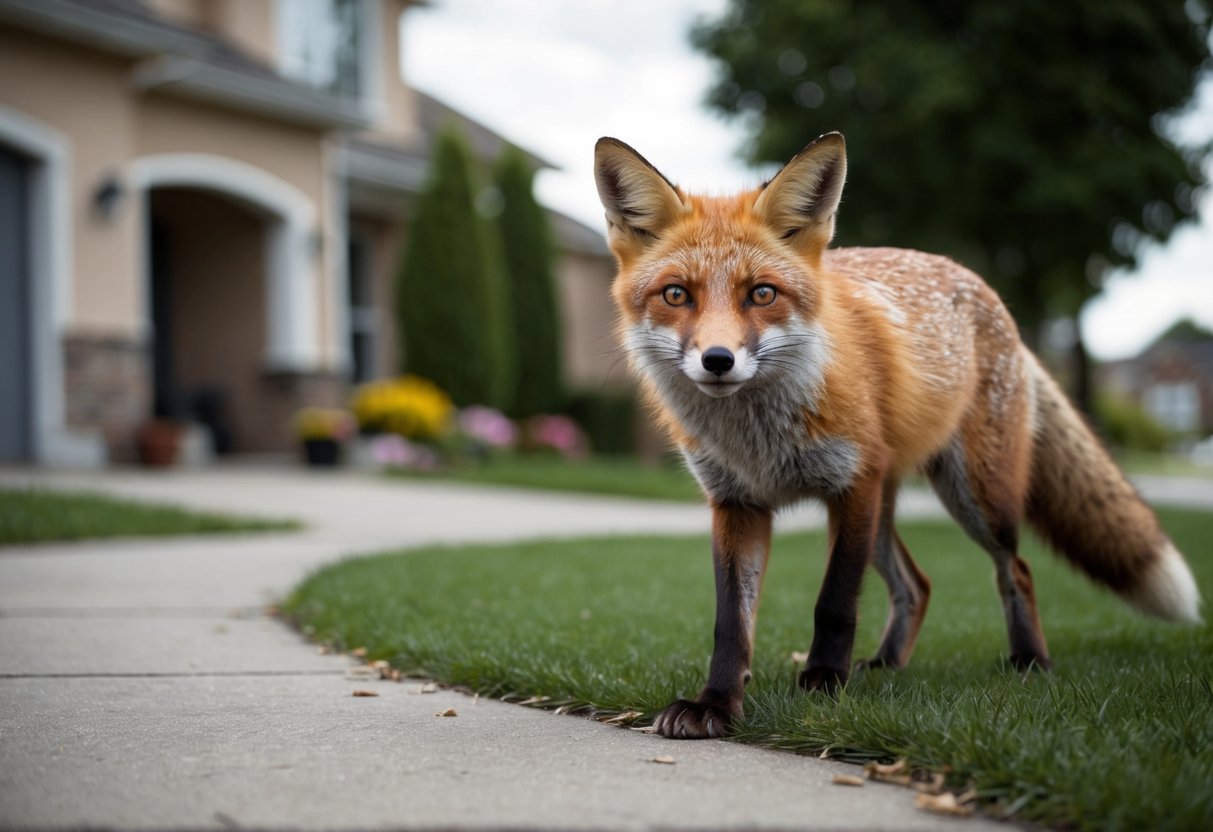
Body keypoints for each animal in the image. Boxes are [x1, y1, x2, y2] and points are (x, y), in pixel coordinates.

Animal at [593, 132, 1202, 740]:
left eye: (761, 294)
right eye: (677, 295)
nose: (718, 360)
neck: (757, 439)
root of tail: (989, 295)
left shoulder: (852, 483)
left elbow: (835, 603)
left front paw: (823, 683)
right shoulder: (737, 503)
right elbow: (731, 623)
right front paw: (717, 704)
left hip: (973, 499)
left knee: (1017, 570)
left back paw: (1029, 660)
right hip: (880, 516)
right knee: (917, 584)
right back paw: (887, 664)